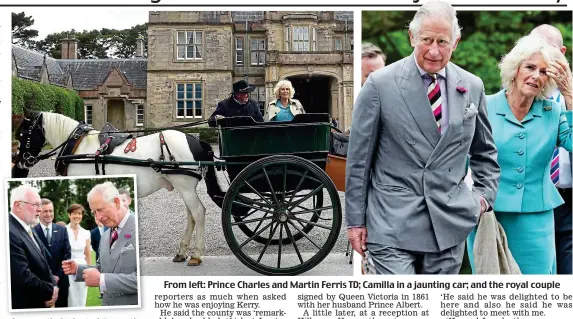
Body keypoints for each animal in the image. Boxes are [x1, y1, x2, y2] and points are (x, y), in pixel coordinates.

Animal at [16, 111, 222, 266]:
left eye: (23, 135)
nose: (20, 164)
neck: (79, 147)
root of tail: (194, 140)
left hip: (185, 187)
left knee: (198, 212)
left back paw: (196, 254)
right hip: (185, 187)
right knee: (191, 215)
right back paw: (182, 251)